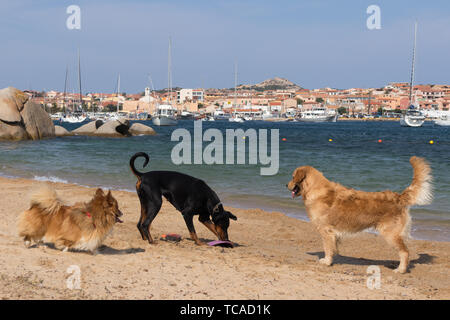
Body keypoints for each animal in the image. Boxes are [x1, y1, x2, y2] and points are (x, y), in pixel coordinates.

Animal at [288, 156, 432, 274]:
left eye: (292, 176)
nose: (285, 185)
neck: (316, 189)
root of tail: (398, 197)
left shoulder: (326, 230)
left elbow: (327, 248)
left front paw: (326, 261)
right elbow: (333, 247)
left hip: (391, 234)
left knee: (405, 252)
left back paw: (400, 269)